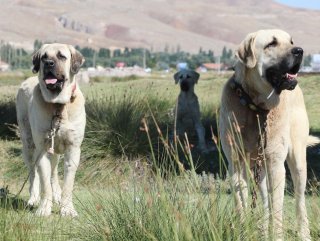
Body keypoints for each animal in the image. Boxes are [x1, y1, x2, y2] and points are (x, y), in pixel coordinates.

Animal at [16, 43, 85, 217]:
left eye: (61, 56)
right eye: (43, 57)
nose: (48, 63)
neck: (58, 105)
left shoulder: (73, 149)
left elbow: (68, 184)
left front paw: (67, 209)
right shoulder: (42, 149)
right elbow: (44, 183)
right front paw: (44, 208)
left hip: (55, 150)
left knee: (53, 173)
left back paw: (57, 196)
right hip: (29, 145)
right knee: (33, 173)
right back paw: (33, 198)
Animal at [219, 29, 318, 240]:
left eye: (291, 42)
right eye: (271, 44)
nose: (299, 50)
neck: (256, 107)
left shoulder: (276, 165)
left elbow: (278, 209)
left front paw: (277, 235)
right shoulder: (236, 164)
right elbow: (241, 205)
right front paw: (244, 233)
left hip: (297, 162)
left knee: (299, 201)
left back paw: (303, 233)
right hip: (259, 168)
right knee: (264, 203)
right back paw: (263, 231)